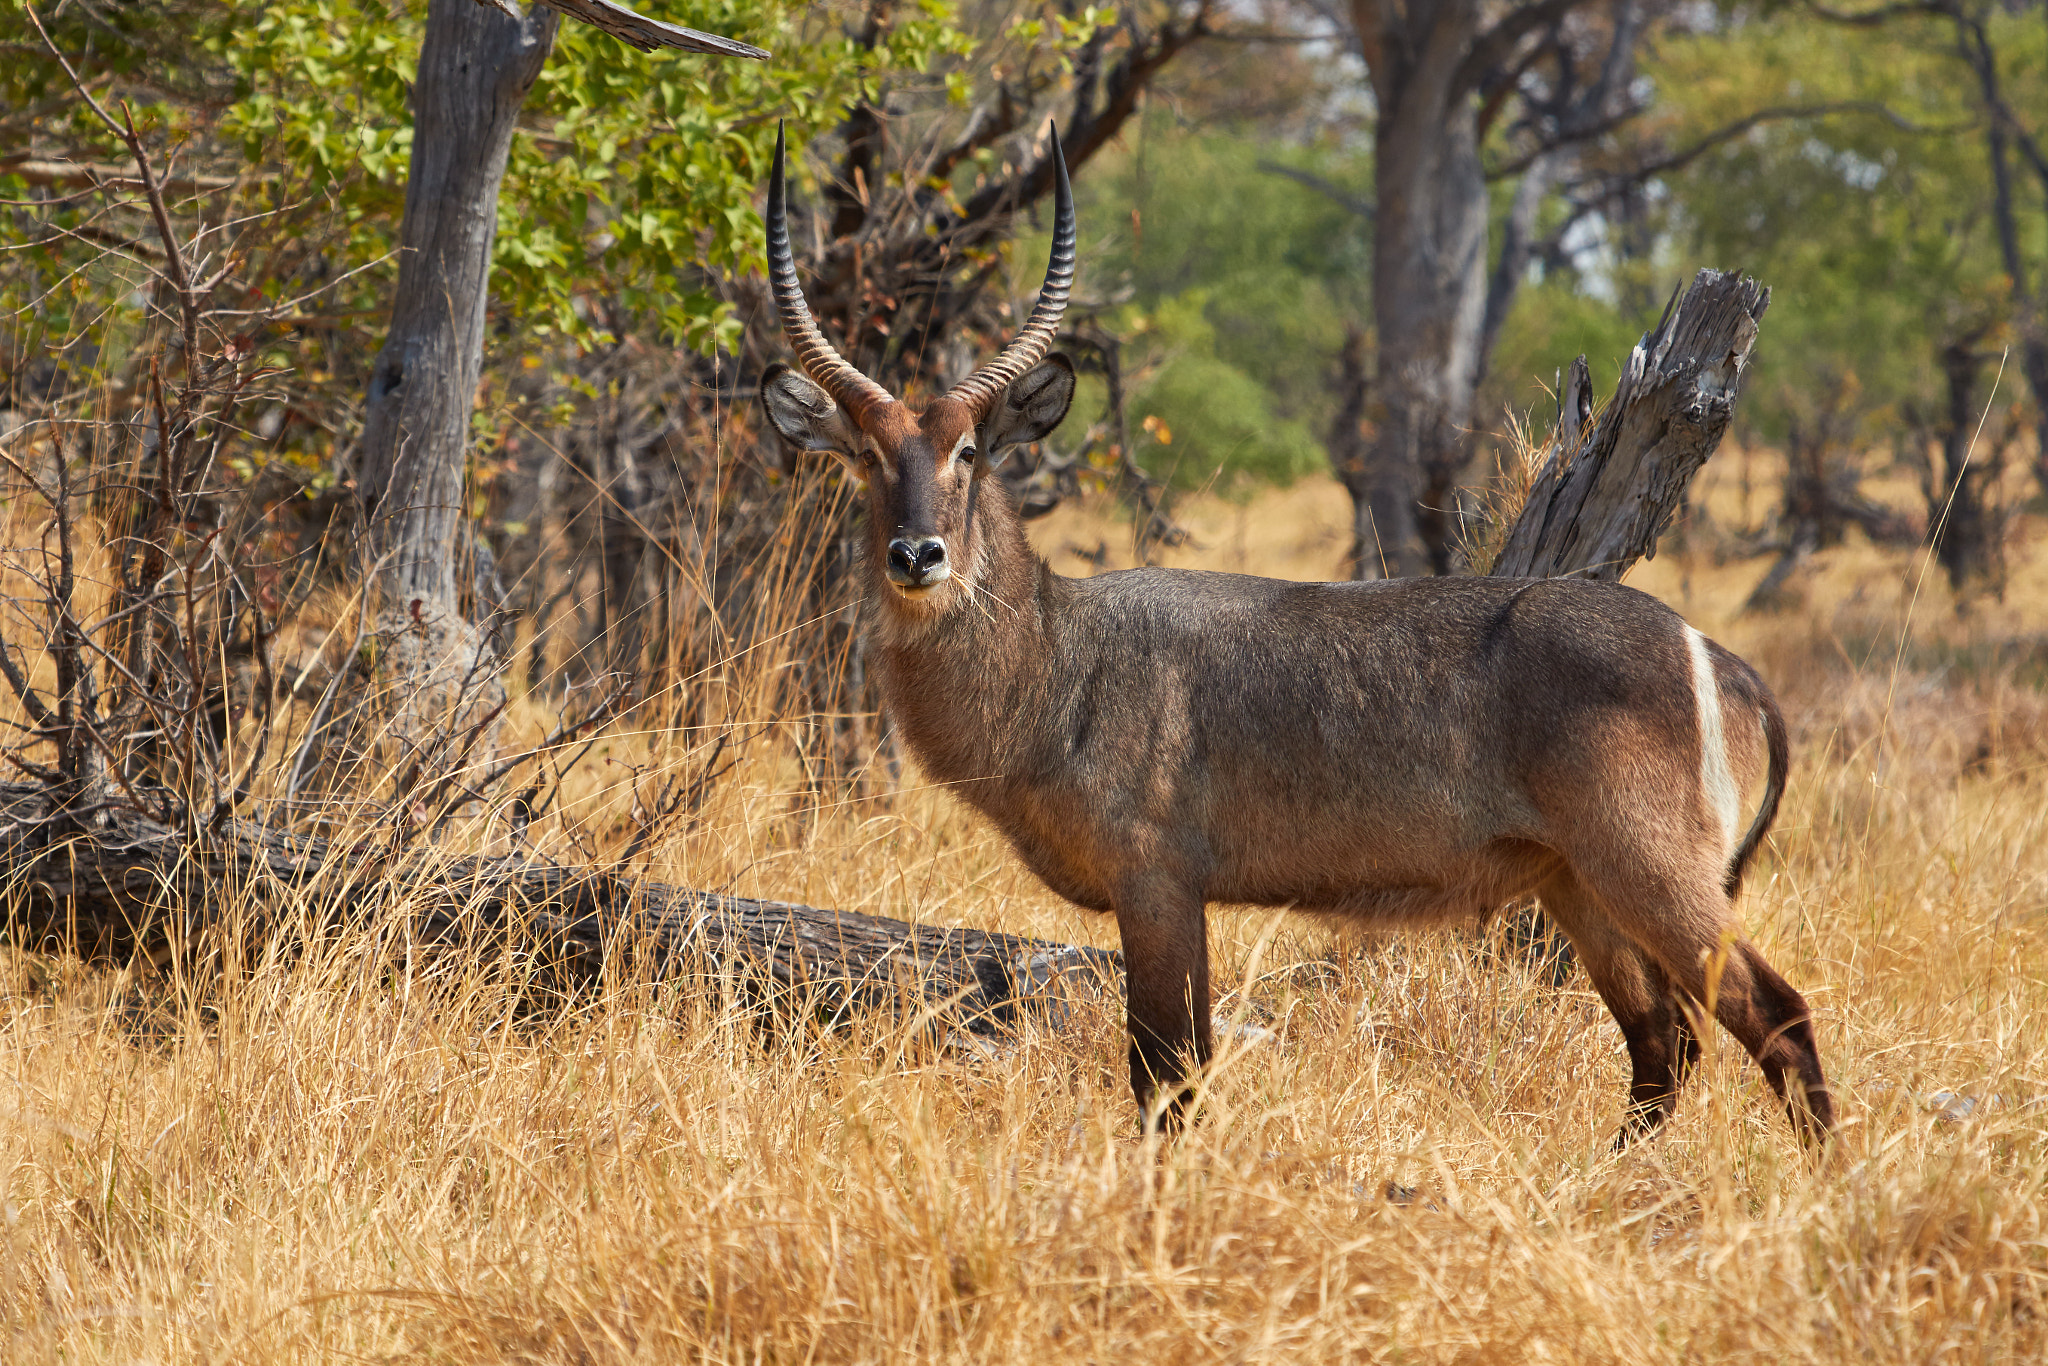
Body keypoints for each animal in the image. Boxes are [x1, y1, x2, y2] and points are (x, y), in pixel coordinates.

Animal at [761, 125, 1835, 1146]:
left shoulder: (1157, 884)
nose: (918, 554)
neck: (1062, 656)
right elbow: (1176, 1072)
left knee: (1773, 1014)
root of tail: (1720, 657)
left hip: (1650, 867)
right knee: (1664, 1042)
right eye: (866, 456)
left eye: (970, 451)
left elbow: (1166, 1075)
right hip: (1574, 881)